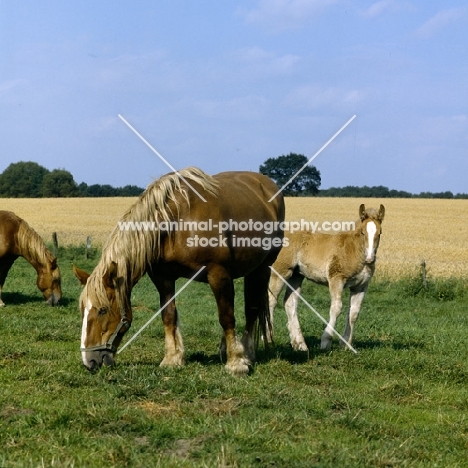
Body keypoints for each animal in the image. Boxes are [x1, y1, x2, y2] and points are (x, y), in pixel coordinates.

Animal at [74, 166, 286, 374]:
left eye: (102, 310)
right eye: (83, 310)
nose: (88, 361)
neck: (176, 222)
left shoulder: (218, 274)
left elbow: (227, 317)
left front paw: (235, 363)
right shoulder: (163, 278)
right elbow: (168, 315)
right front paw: (172, 358)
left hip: (261, 269)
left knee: (252, 310)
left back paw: (246, 353)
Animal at [266, 204, 384, 352]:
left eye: (380, 233)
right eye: (362, 233)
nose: (370, 259)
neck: (354, 250)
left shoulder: (360, 286)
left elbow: (354, 313)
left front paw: (346, 344)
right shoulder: (336, 279)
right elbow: (336, 308)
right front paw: (326, 342)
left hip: (296, 276)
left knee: (290, 303)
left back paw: (300, 344)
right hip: (280, 272)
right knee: (271, 300)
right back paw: (269, 340)